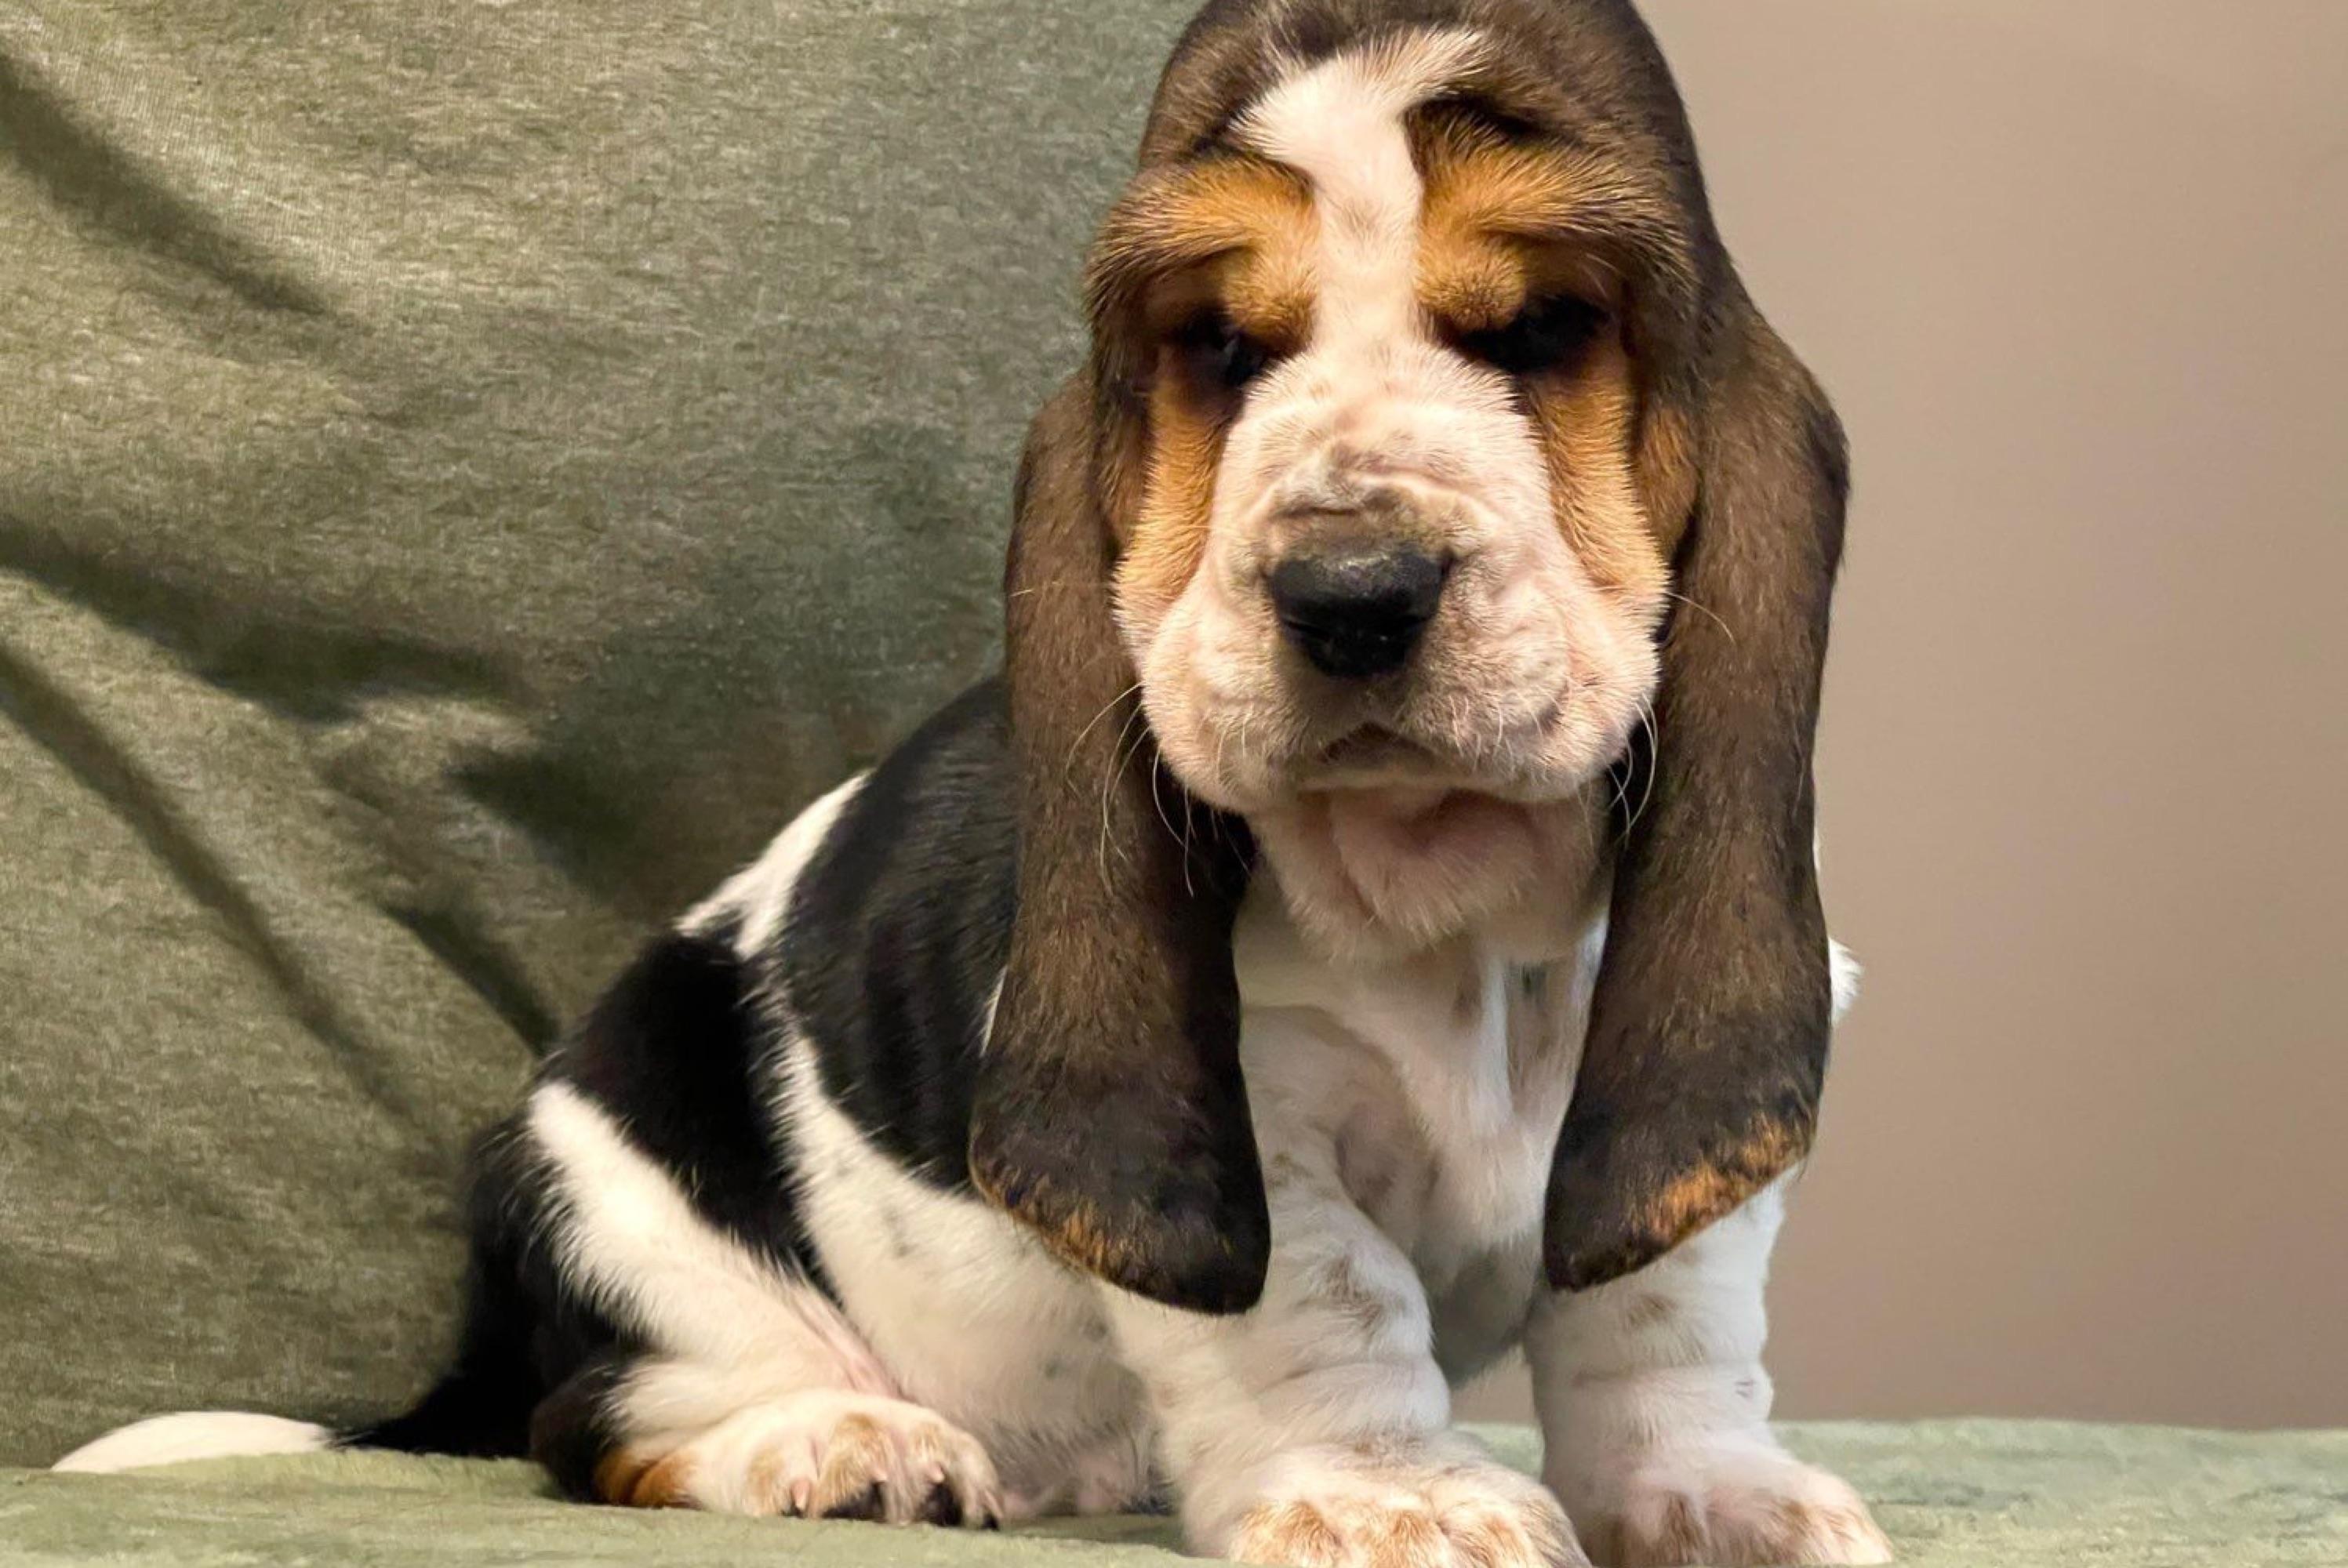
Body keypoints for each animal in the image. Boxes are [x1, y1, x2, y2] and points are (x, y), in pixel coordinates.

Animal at [58, 2, 1892, 1563]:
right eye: (1216, 348)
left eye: (1550, 328)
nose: (1351, 592)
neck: (1441, 897)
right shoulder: (1258, 1123)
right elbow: (1330, 1305)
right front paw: (1393, 1498)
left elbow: (1660, 1316)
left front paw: (1715, 1495)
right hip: (627, 1179)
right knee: (606, 1418)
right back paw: (847, 1443)